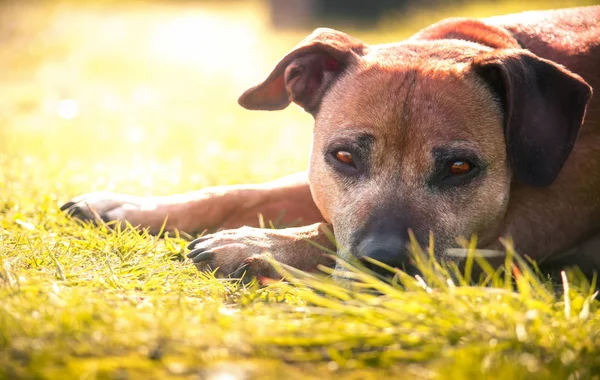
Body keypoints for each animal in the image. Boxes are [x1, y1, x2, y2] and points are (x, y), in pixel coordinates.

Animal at [61, 5, 600, 280]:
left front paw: (255, 243)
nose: (385, 262)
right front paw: (130, 207)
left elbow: (325, 232)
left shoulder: (535, 220)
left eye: (460, 168)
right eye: (343, 157)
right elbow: (244, 191)